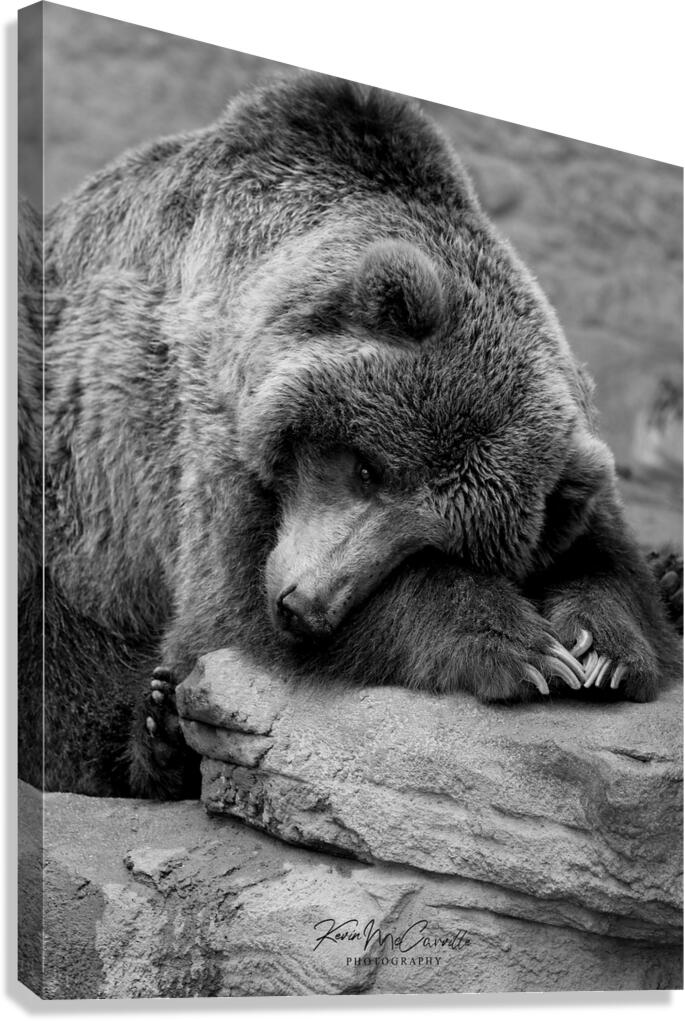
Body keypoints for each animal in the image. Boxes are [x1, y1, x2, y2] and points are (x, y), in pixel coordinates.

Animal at [21, 72, 681, 800]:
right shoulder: (198, 432)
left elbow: (602, 554)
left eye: (432, 541)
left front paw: (604, 644)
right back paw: (155, 734)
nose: (302, 606)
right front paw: (520, 646)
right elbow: (227, 604)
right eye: (368, 468)